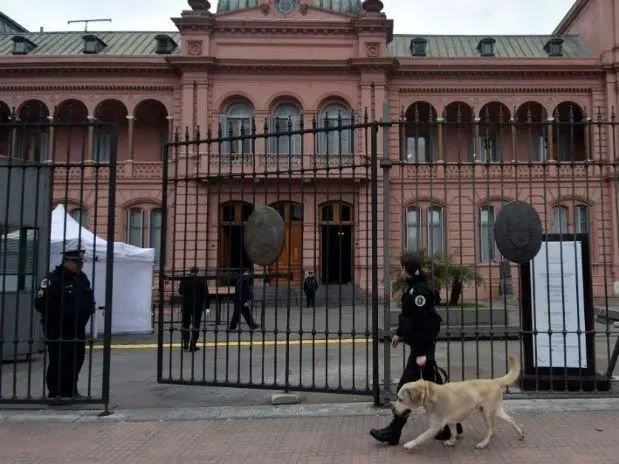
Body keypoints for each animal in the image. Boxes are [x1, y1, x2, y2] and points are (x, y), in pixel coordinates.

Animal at [392, 356, 524, 450]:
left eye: (400, 399)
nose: (392, 408)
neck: (430, 394)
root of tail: (494, 381)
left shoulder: (435, 426)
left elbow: (420, 437)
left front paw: (410, 444)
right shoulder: (450, 420)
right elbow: (453, 432)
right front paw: (451, 441)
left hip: (487, 412)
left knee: (491, 431)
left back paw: (483, 443)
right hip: (495, 411)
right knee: (510, 419)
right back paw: (520, 434)